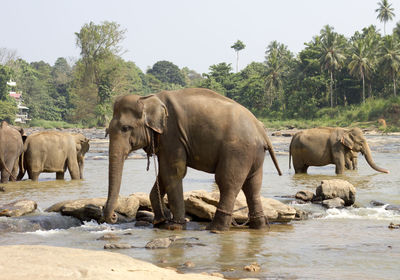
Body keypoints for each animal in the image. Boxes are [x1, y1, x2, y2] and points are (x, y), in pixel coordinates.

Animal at [104, 88, 282, 231]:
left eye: (125, 128)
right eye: (107, 131)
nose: (113, 217)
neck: (149, 98)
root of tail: (261, 130)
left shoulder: (172, 135)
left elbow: (173, 172)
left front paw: (175, 226)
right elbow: (164, 173)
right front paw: (160, 221)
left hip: (237, 150)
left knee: (227, 182)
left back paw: (215, 229)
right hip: (254, 154)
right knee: (253, 186)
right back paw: (260, 227)